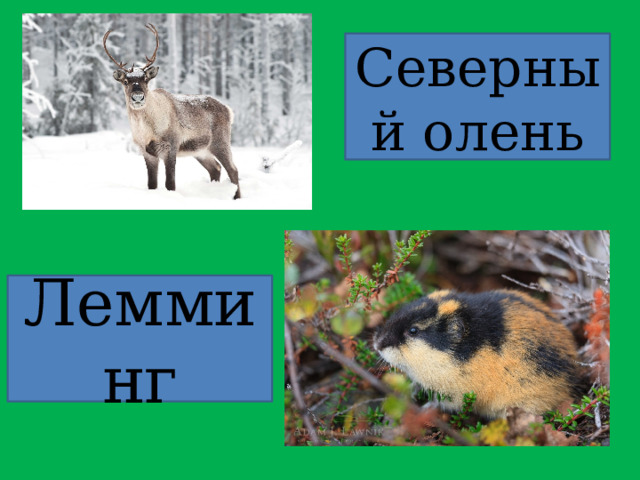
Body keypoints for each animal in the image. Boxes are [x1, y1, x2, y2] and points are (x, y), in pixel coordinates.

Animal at [103, 24, 240, 199]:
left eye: (146, 80)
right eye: (126, 81)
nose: (138, 97)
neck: (146, 131)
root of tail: (228, 110)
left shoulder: (170, 147)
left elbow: (170, 184)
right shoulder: (147, 152)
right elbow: (151, 184)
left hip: (220, 142)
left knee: (233, 170)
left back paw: (236, 197)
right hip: (201, 151)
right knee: (215, 168)